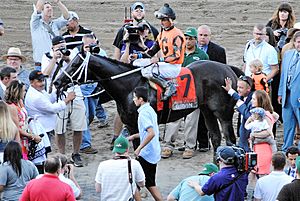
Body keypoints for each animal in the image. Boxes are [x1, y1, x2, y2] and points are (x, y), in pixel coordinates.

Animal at [54, 53, 239, 151]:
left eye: (75, 64)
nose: (56, 82)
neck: (130, 86)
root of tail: (228, 68)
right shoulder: (130, 125)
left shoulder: (140, 123)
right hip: (207, 111)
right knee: (216, 139)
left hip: (224, 114)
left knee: (230, 141)